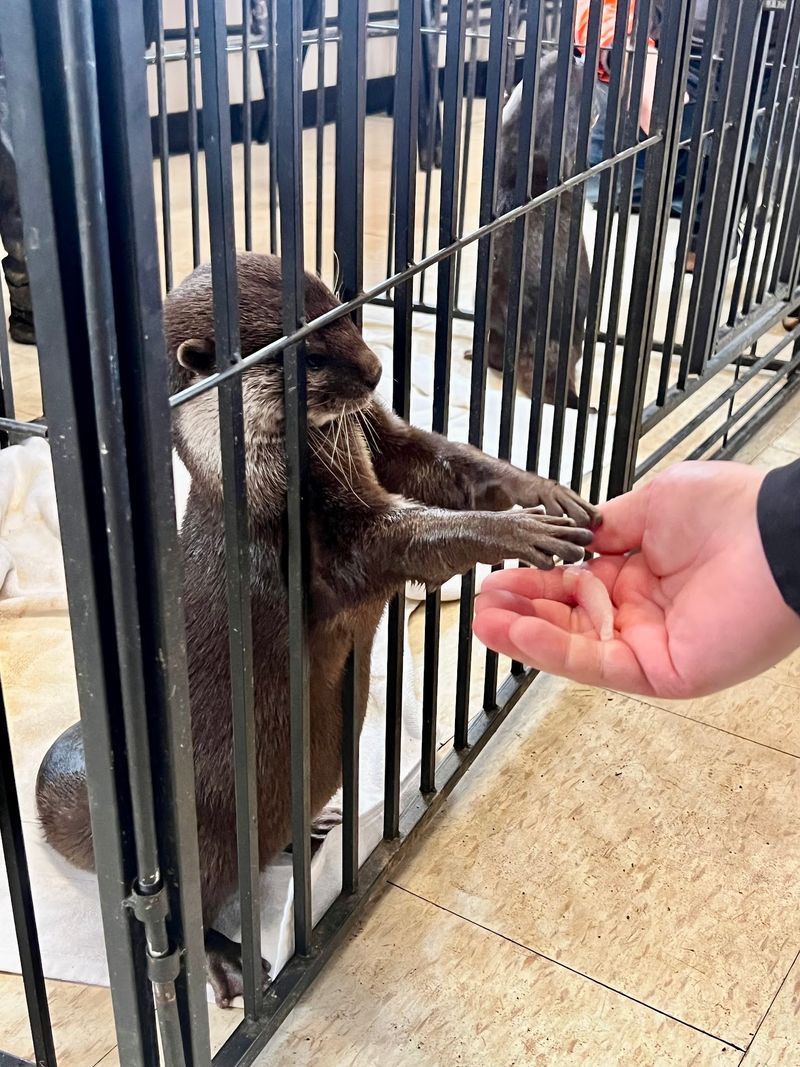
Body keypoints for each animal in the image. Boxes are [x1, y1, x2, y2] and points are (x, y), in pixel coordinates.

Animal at [36, 252, 597, 1006]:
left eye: (342, 313)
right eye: (307, 353)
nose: (376, 369)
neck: (275, 478)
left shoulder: (377, 438)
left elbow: (450, 461)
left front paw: (545, 489)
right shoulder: (318, 552)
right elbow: (410, 542)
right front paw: (518, 530)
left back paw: (311, 831)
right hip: (203, 838)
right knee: (179, 921)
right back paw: (224, 961)